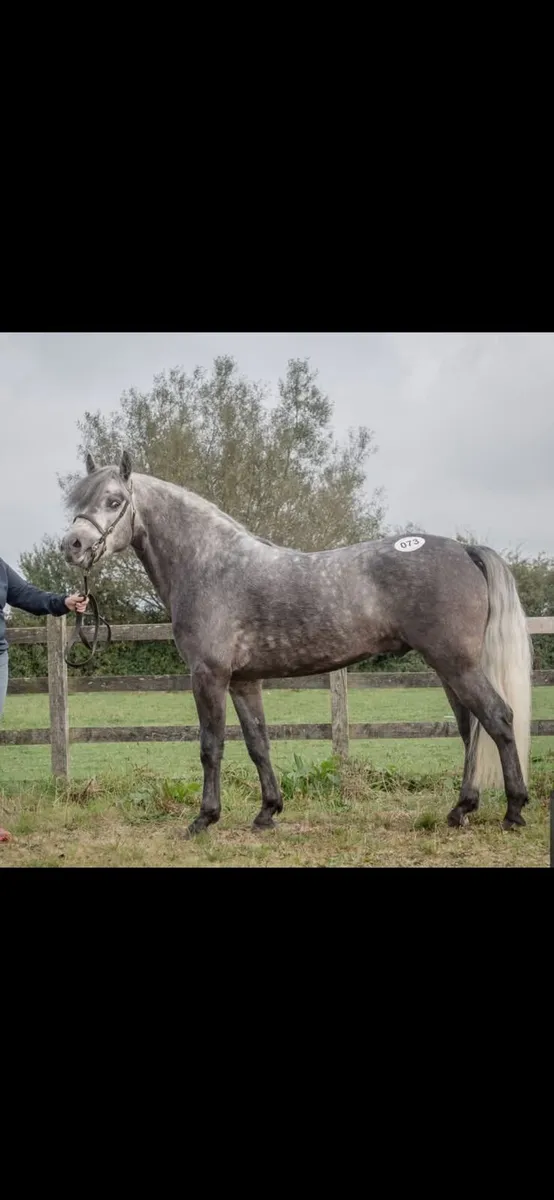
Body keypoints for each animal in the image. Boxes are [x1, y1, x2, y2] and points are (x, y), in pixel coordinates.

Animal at [61, 451, 533, 837]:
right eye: (77, 501)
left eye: (114, 500)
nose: (73, 545)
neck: (209, 564)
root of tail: (465, 549)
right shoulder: (244, 681)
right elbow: (258, 744)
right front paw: (267, 812)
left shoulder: (208, 676)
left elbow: (211, 747)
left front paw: (204, 818)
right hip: (449, 669)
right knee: (471, 730)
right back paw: (462, 809)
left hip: (456, 665)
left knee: (497, 718)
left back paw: (514, 811)